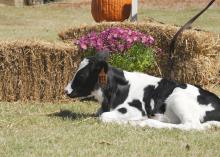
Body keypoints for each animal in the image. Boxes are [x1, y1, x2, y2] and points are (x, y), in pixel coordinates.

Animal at [64, 53, 220, 131]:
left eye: (81, 75)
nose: (66, 90)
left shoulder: (133, 109)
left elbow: (104, 117)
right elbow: (100, 113)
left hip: (178, 98)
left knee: (192, 126)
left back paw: (146, 123)